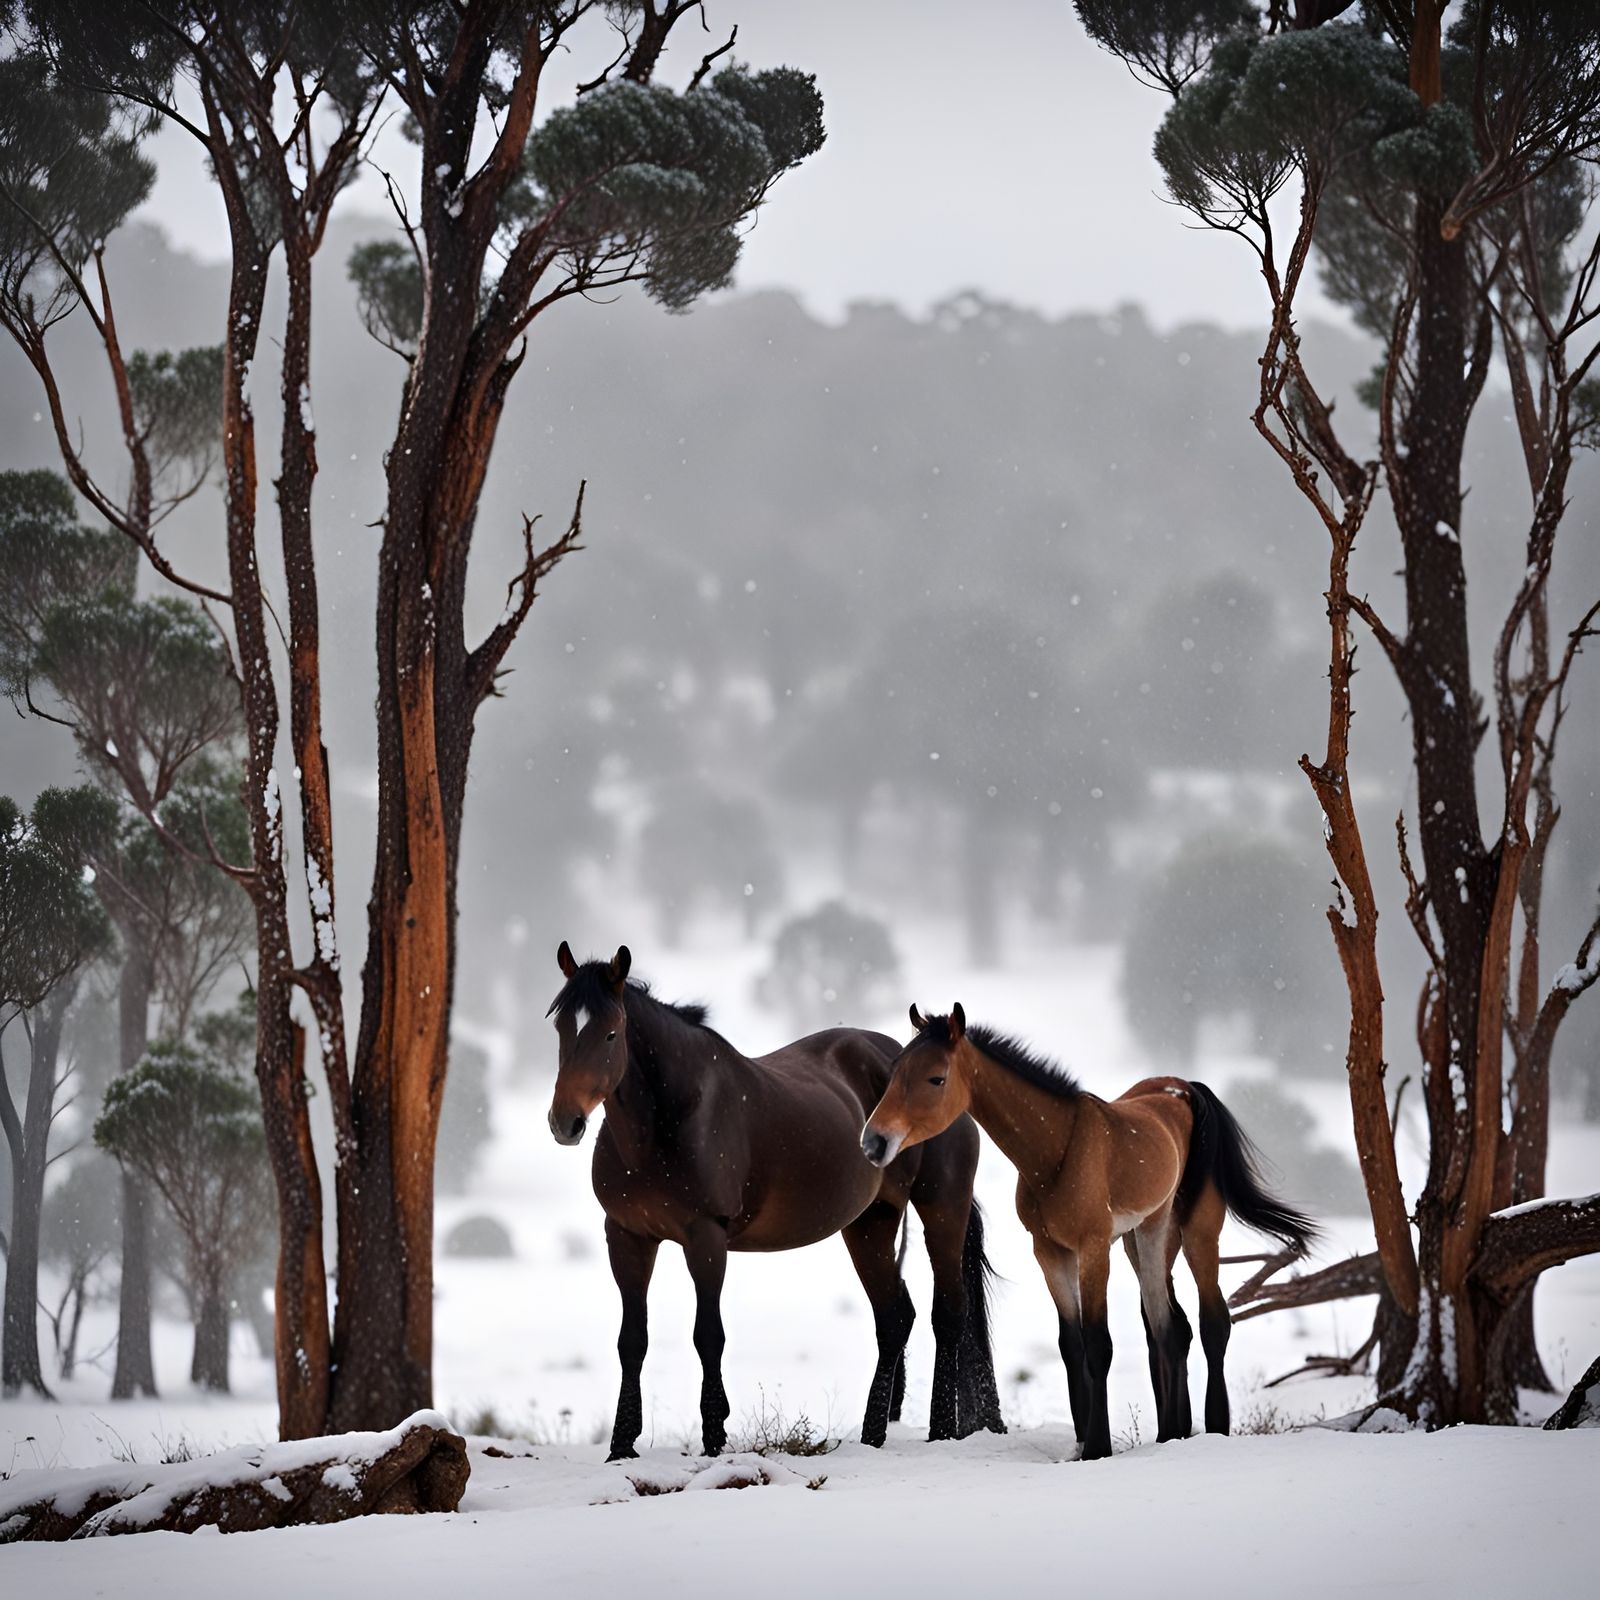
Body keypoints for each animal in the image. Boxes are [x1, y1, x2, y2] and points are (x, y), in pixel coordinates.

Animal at [545, 944, 1006, 1459]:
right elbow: (632, 1341)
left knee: (947, 1312)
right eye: (561, 1027)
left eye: (610, 1032)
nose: (565, 1122)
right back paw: (872, 1436)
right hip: (870, 1222)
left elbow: (708, 1336)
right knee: (894, 1317)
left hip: (942, 1208)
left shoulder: (706, 1237)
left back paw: (940, 1431)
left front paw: (714, 1438)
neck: (672, 1121)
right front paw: (621, 1445)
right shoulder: (627, 1236)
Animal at [861, 1003, 1318, 1460]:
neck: (1056, 1152)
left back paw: (1214, 1428)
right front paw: (1082, 1443)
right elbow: (1072, 1344)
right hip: (1146, 1238)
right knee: (1169, 1328)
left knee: (1211, 1323)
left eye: (936, 1078)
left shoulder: (1094, 1248)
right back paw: (1171, 1432)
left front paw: (1098, 1446)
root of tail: (1184, 1089)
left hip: (1197, 1233)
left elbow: (1098, 1343)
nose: (874, 1141)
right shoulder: (1050, 1252)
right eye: (895, 1071)